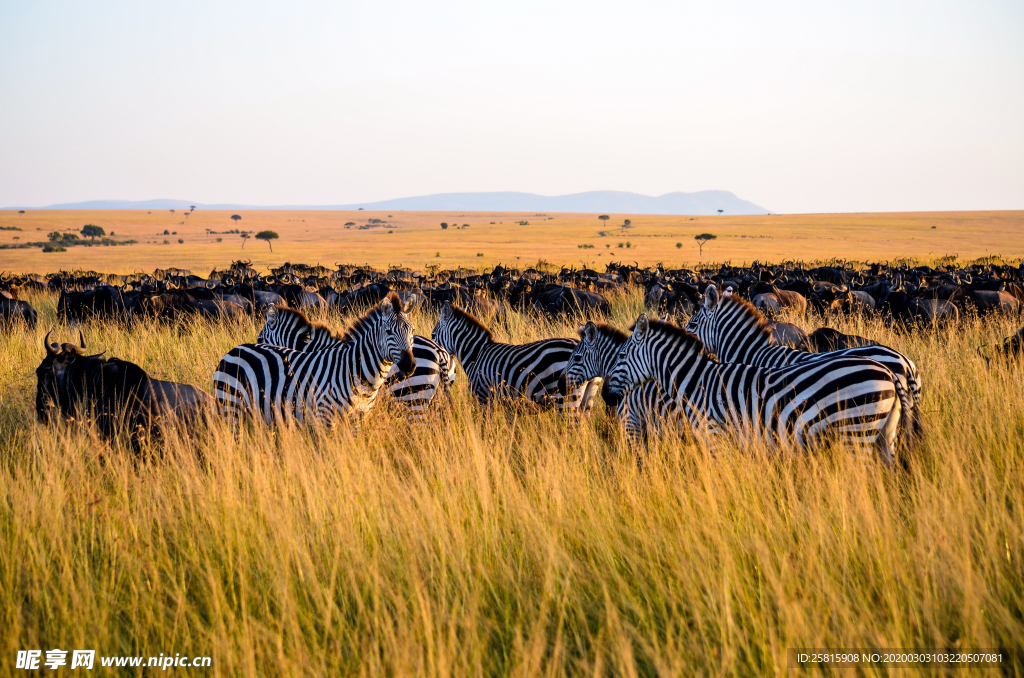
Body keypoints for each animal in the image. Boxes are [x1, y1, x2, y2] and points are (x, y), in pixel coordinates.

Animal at [214, 294, 413, 428]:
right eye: (389, 332)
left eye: (411, 330)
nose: (409, 365)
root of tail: (233, 350)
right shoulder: (323, 416)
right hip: (232, 407)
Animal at [606, 315, 905, 467]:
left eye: (620, 355)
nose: (607, 397)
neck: (696, 382)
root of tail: (890, 372)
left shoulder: (715, 437)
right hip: (883, 435)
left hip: (856, 431)